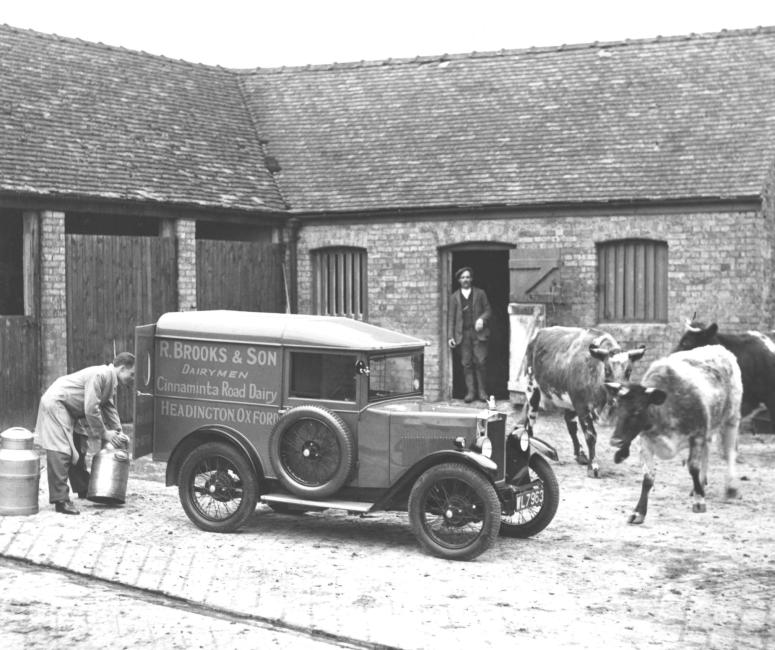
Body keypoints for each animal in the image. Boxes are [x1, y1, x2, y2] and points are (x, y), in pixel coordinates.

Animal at [520, 326, 648, 478]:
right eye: (607, 370)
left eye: (629, 371)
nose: (619, 396)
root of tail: (539, 332)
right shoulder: (582, 406)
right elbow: (590, 435)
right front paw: (593, 466)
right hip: (532, 388)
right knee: (530, 419)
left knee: (570, 424)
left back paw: (580, 455)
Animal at [604, 344, 744, 520]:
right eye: (617, 408)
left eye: (637, 410)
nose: (615, 441)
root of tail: (720, 348)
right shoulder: (645, 444)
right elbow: (648, 478)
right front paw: (638, 512)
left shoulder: (696, 435)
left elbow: (693, 467)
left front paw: (699, 501)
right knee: (707, 452)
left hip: (731, 418)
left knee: (730, 452)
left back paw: (730, 487)